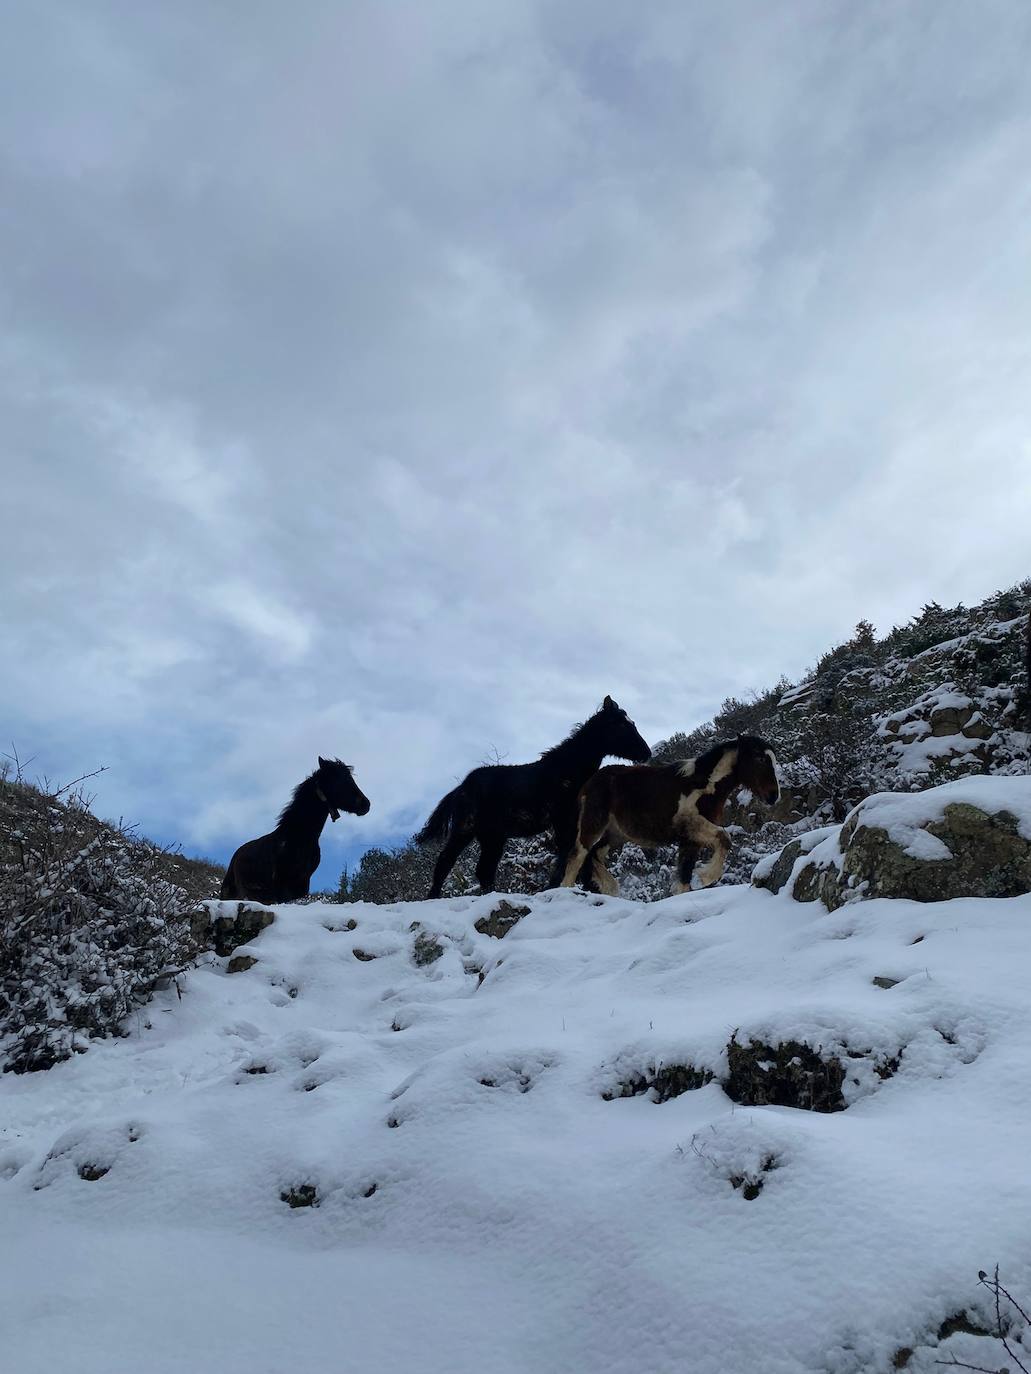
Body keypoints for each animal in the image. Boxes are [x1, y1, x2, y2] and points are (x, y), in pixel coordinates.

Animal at [219, 758, 373, 906]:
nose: (366, 804)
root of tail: (237, 855)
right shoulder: (280, 889)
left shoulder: (300, 887)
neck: (298, 838)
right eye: (340, 780)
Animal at [415, 697, 648, 901]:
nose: (645, 753)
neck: (568, 770)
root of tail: (461, 788)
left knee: (483, 870)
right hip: (467, 830)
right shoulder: (563, 819)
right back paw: (433, 897)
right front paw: (559, 886)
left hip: (491, 836)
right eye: (621, 725)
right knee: (447, 861)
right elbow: (569, 852)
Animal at [560, 736, 780, 895]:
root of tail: (588, 785)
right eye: (760, 758)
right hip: (593, 825)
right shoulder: (692, 826)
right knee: (577, 856)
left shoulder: (691, 840)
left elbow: (684, 878)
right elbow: (724, 838)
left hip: (614, 835)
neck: (703, 786)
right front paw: (705, 877)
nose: (774, 796)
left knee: (594, 855)